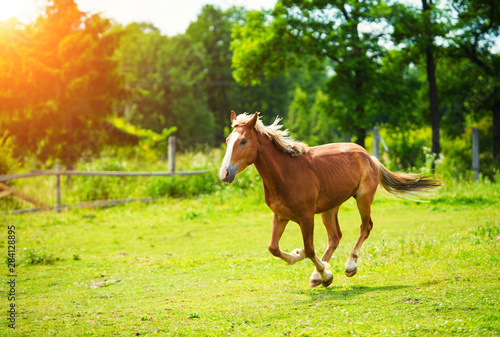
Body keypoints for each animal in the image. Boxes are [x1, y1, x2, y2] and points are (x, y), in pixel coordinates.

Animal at [220, 110, 442, 286]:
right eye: (228, 141)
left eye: (244, 141)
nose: (224, 174)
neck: (286, 173)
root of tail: (369, 157)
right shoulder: (280, 216)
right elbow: (273, 248)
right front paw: (302, 257)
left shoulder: (306, 217)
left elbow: (310, 249)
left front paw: (325, 273)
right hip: (329, 208)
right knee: (335, 237)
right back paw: (317, 275)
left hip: (362, 199)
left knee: (365, 227)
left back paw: (349, 266)